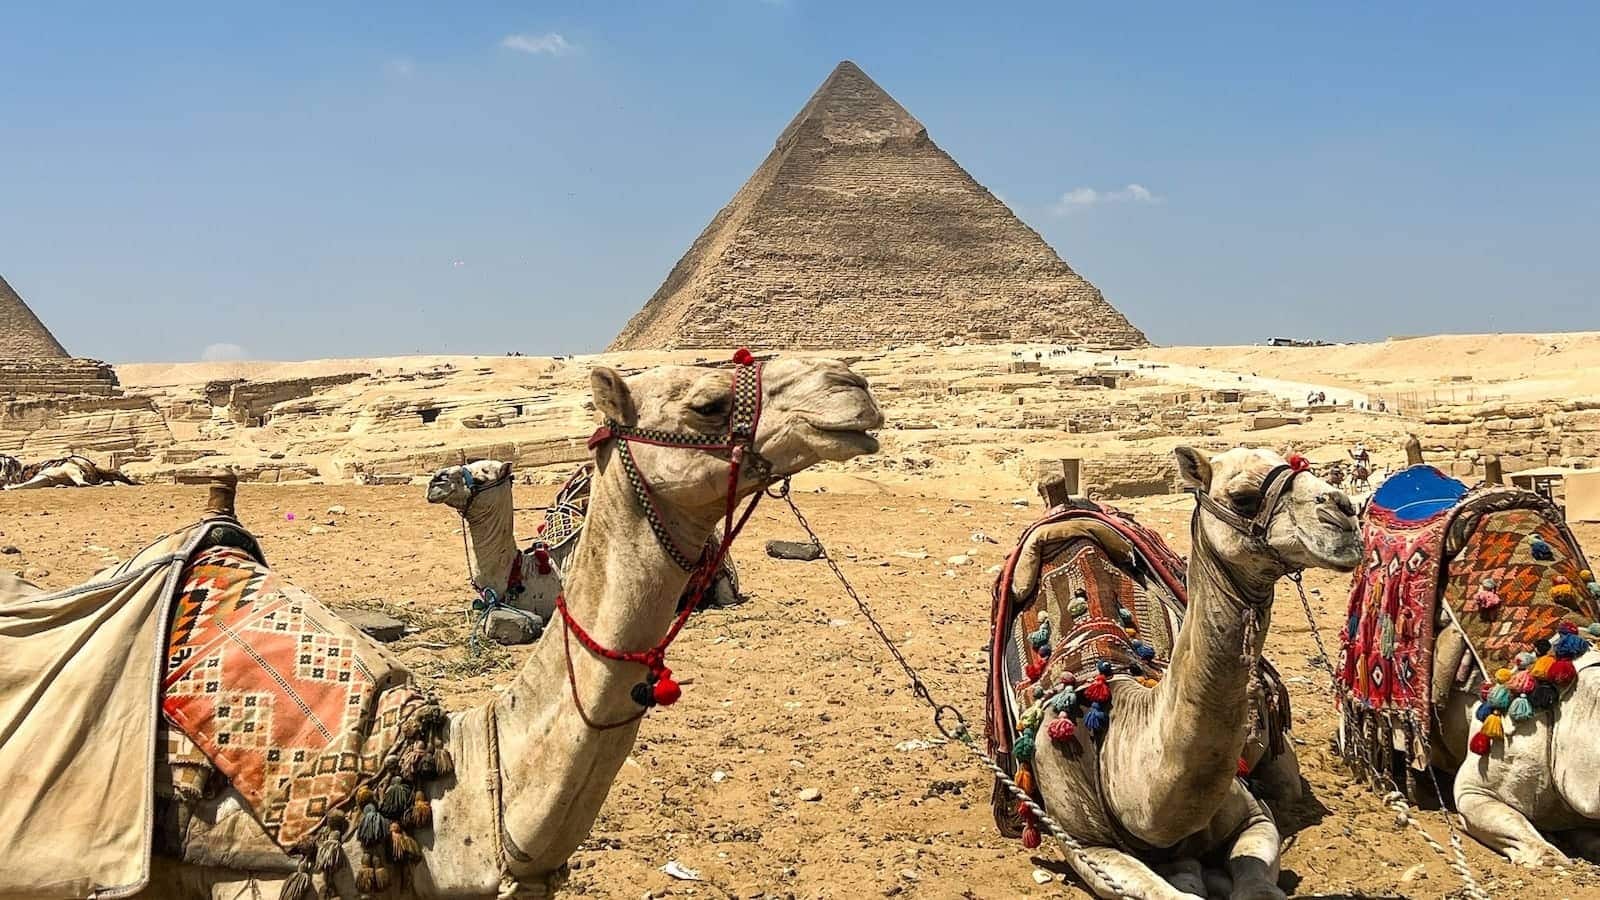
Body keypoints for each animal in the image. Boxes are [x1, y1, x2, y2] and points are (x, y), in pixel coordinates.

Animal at [1024, 448, 1363, 896]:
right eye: (1242, 497)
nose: (1345, 512)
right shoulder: (1083, 844)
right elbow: (1167, 890)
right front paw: (1195, 877)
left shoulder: (1255, 816)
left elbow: (1254, 885)